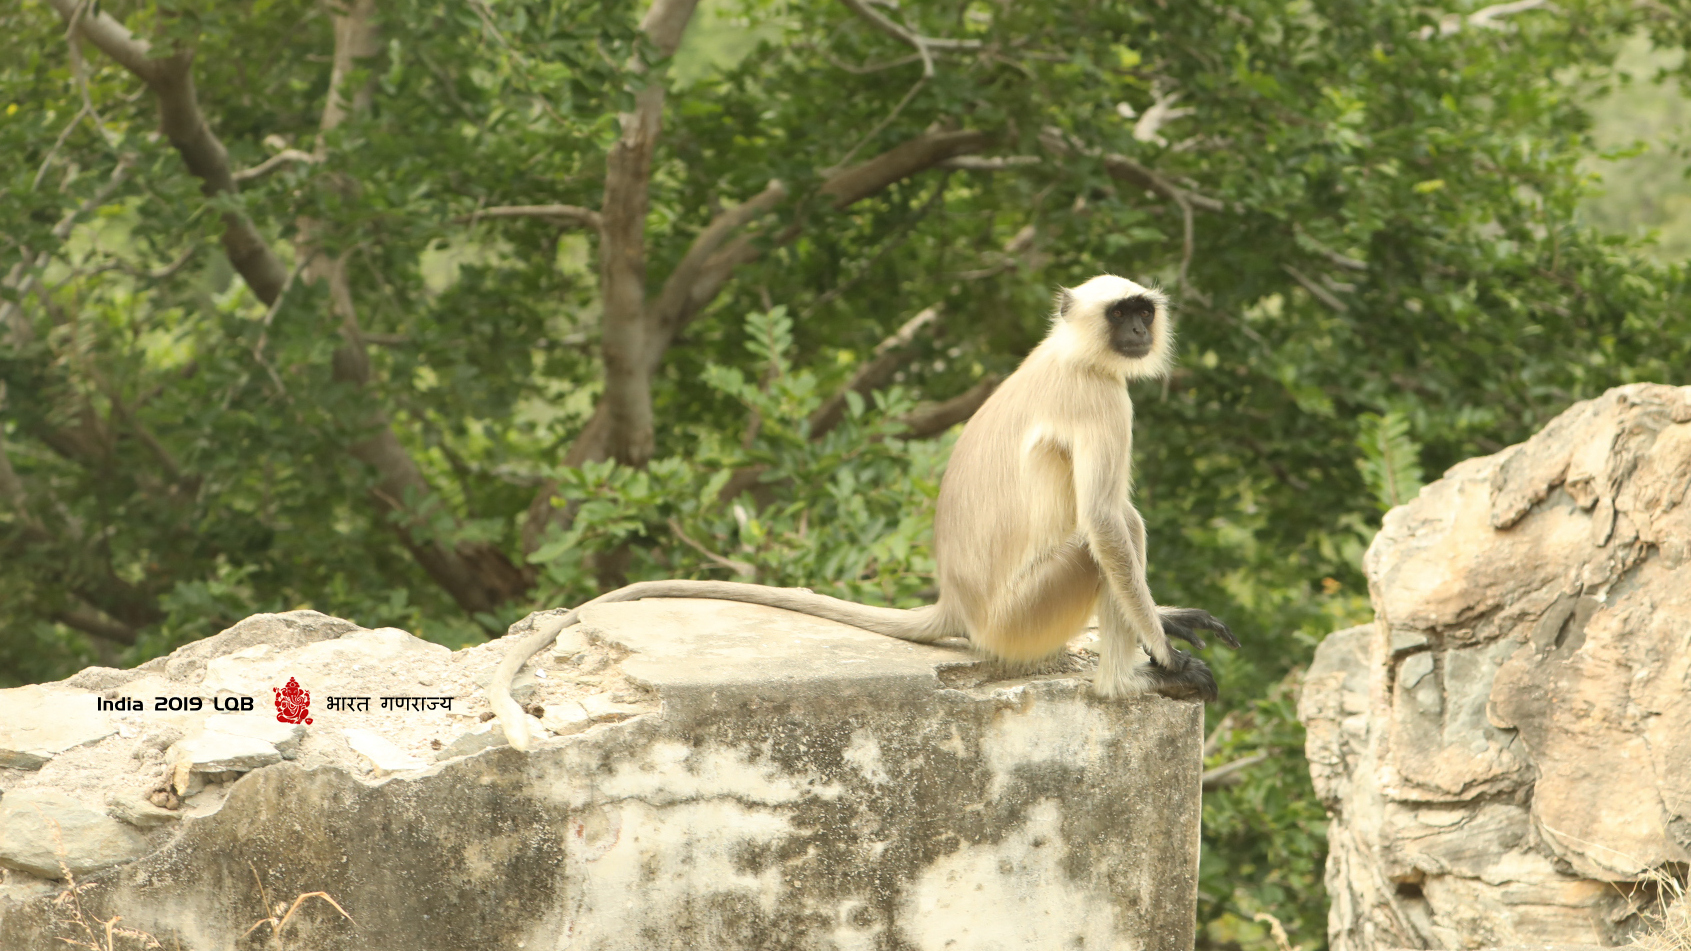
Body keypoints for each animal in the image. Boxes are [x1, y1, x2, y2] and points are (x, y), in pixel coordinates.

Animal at [493, 274, 1244, 747]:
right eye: (1120, 315)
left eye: (1142, 311)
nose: (1139, 328)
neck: (1070, 351)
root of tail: (958, 607)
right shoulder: (1102, 399)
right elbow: (1106, 526)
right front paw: (1165, 654)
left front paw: (1170, 619)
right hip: (1024, 616)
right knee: (1102, 539)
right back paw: (1127, 684)